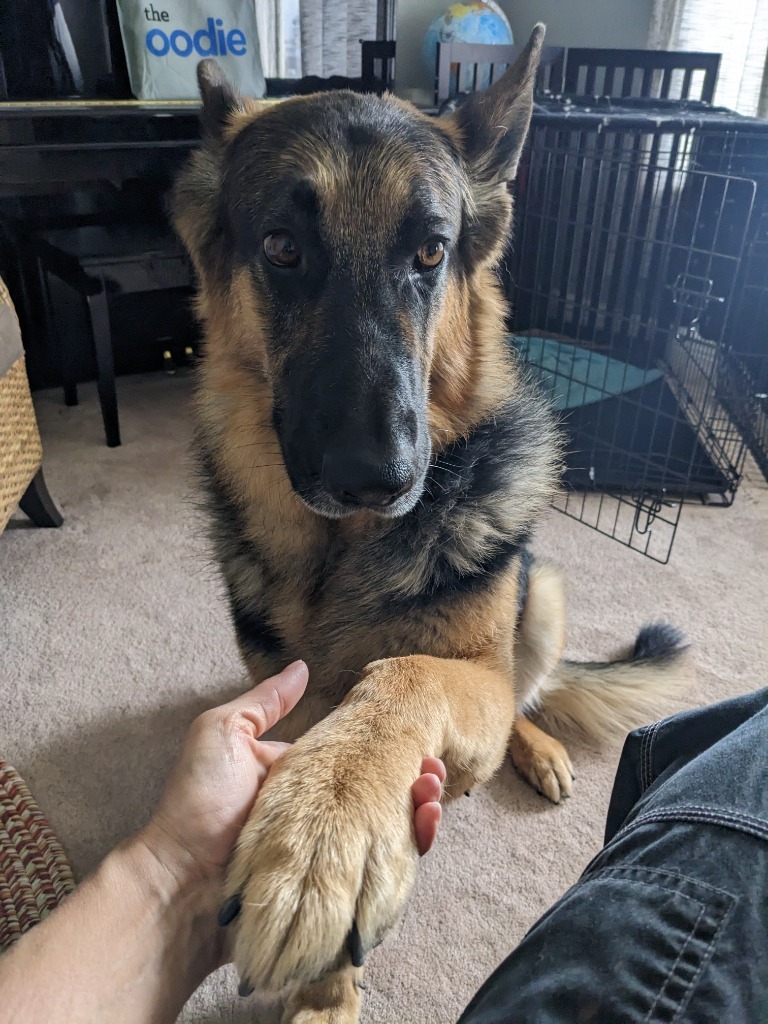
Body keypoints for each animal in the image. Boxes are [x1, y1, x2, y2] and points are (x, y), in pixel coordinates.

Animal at [173, 25, 692, 1024]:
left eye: (430, 252)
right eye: (283, 247)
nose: (375, 477)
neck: (342, 556)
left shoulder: (463, 679)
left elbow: (407, 673)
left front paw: (328, 823)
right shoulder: (291, 695)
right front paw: (328, 985)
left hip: (543, 592)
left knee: (527, 685)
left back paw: (536, 749)